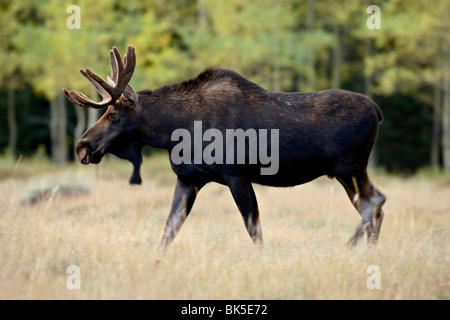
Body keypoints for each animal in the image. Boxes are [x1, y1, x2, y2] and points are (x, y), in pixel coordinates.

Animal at [62, 45, 386, 250]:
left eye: (113, 115)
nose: (82, 147)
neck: (174, 131)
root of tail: (378, 111)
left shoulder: (236, 174)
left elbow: (254, 228)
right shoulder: (188, 178)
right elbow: (169, 229)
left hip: (349, 166)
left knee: (373, 203)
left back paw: (350, 246)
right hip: (347, 170)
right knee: (375, 204)